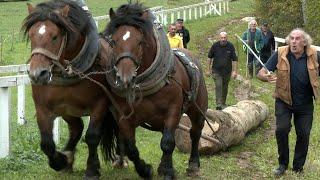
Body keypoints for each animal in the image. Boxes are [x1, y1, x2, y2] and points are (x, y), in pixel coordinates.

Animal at [22, 0, 117, 179]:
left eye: (54, 36)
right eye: (31, 35)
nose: (37, 74)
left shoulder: (100, 104)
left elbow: (92, 136)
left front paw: (92, 169)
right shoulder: (43, 109)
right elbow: (46, 144)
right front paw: (61, 160)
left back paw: (121, 160)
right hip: (68, 110)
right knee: (76, 128)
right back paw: (68, 157)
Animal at [102, 3, 208, 179]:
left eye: (139, 41)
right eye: (113, 41)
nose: (124, 77)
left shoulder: (173, 110)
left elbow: (167, 142)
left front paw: (168, 171)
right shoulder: (123, 116)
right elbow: (131, 148)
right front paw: (145, 170)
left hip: (197, 108)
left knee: (195, 132)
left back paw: (193, 164)